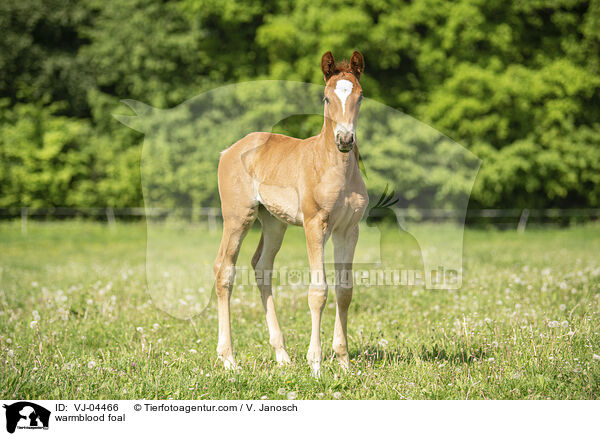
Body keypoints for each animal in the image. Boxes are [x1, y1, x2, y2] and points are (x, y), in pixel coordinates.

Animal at [213, 51, 368, 374]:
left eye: (360, 96)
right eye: (326, 98)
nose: (345, 140)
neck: (334, 168)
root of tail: (229, 150)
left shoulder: (349, 230)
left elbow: (345, 291)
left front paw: (344, 362)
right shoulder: (315, 225)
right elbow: (318, 291)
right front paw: (316, 364)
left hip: (273, 223)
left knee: (261, 267)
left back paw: (281, 354)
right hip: (237, 217)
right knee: (224, 270)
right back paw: (229, 359)